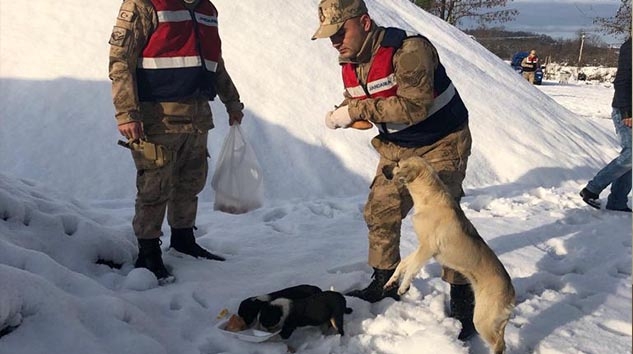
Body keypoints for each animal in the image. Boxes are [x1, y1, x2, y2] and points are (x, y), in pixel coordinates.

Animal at [382, 158, 516, 354]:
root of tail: (511, 293)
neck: (429, 200)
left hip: (483, 319)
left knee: (499, 344)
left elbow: (412, 268)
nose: (383, 168)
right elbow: (404, 263)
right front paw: (391, 281)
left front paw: (403, 287)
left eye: (398, 164)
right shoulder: (421, 247)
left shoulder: (427, 249)